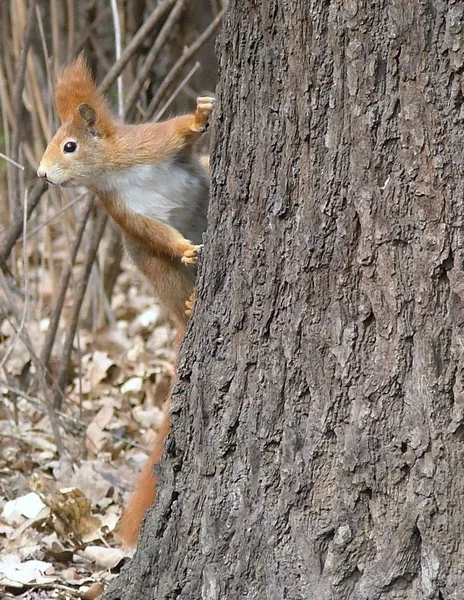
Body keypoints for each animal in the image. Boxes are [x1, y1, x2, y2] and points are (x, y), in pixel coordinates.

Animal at [38, 57, 214, 548]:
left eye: (70, 146)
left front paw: (201, 113)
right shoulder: (124, 213)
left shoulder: (150, 146)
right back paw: (188, 304)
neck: (110, 173)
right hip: (154, 270)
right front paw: (185, 249)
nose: (42, 174)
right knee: (170, 282)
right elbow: (156, 234)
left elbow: (177, 132)